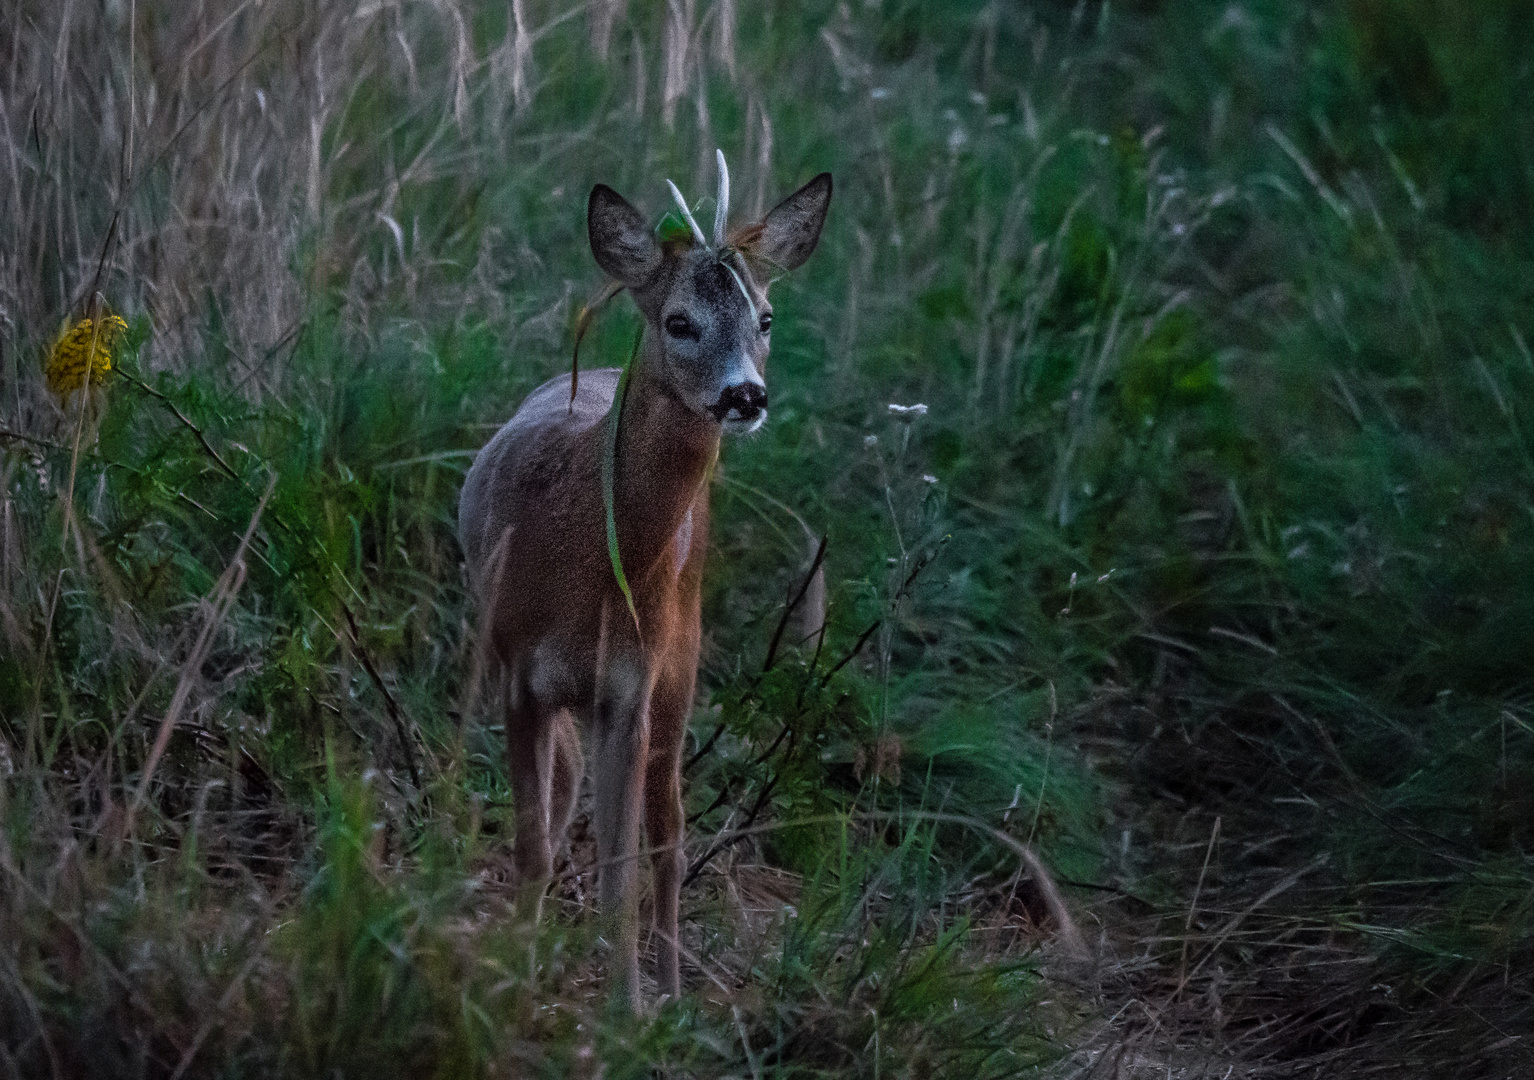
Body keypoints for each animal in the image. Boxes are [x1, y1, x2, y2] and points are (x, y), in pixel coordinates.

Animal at [460, 156, 834, 1006]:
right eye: (680, 321)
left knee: (670, 833)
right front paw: (515, 975)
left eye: (766, 318)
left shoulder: (630, 687)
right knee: (572, 802)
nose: (745, 395)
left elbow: (618, 868)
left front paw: (626, 1009)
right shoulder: (519, 671)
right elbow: (536, 843)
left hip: (680, 663)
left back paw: (670, 987)